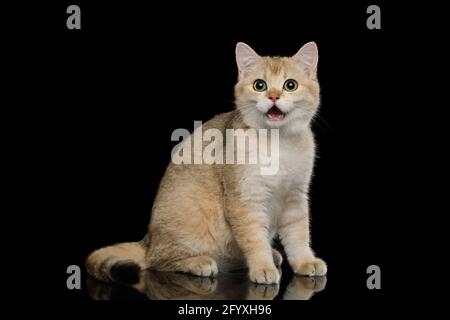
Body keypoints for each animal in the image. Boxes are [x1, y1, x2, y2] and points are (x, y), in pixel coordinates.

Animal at [86, 41, 326, 284]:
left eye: (290, 85)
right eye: (260, 85)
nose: (274, 96)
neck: (278, 144)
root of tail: (148, 240)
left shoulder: (295, 197)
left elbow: (298, 235)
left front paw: (305, 261)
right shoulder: (244, 199)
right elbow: (254, 239)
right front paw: (262, 266)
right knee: (159, 261)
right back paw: (199, 262)